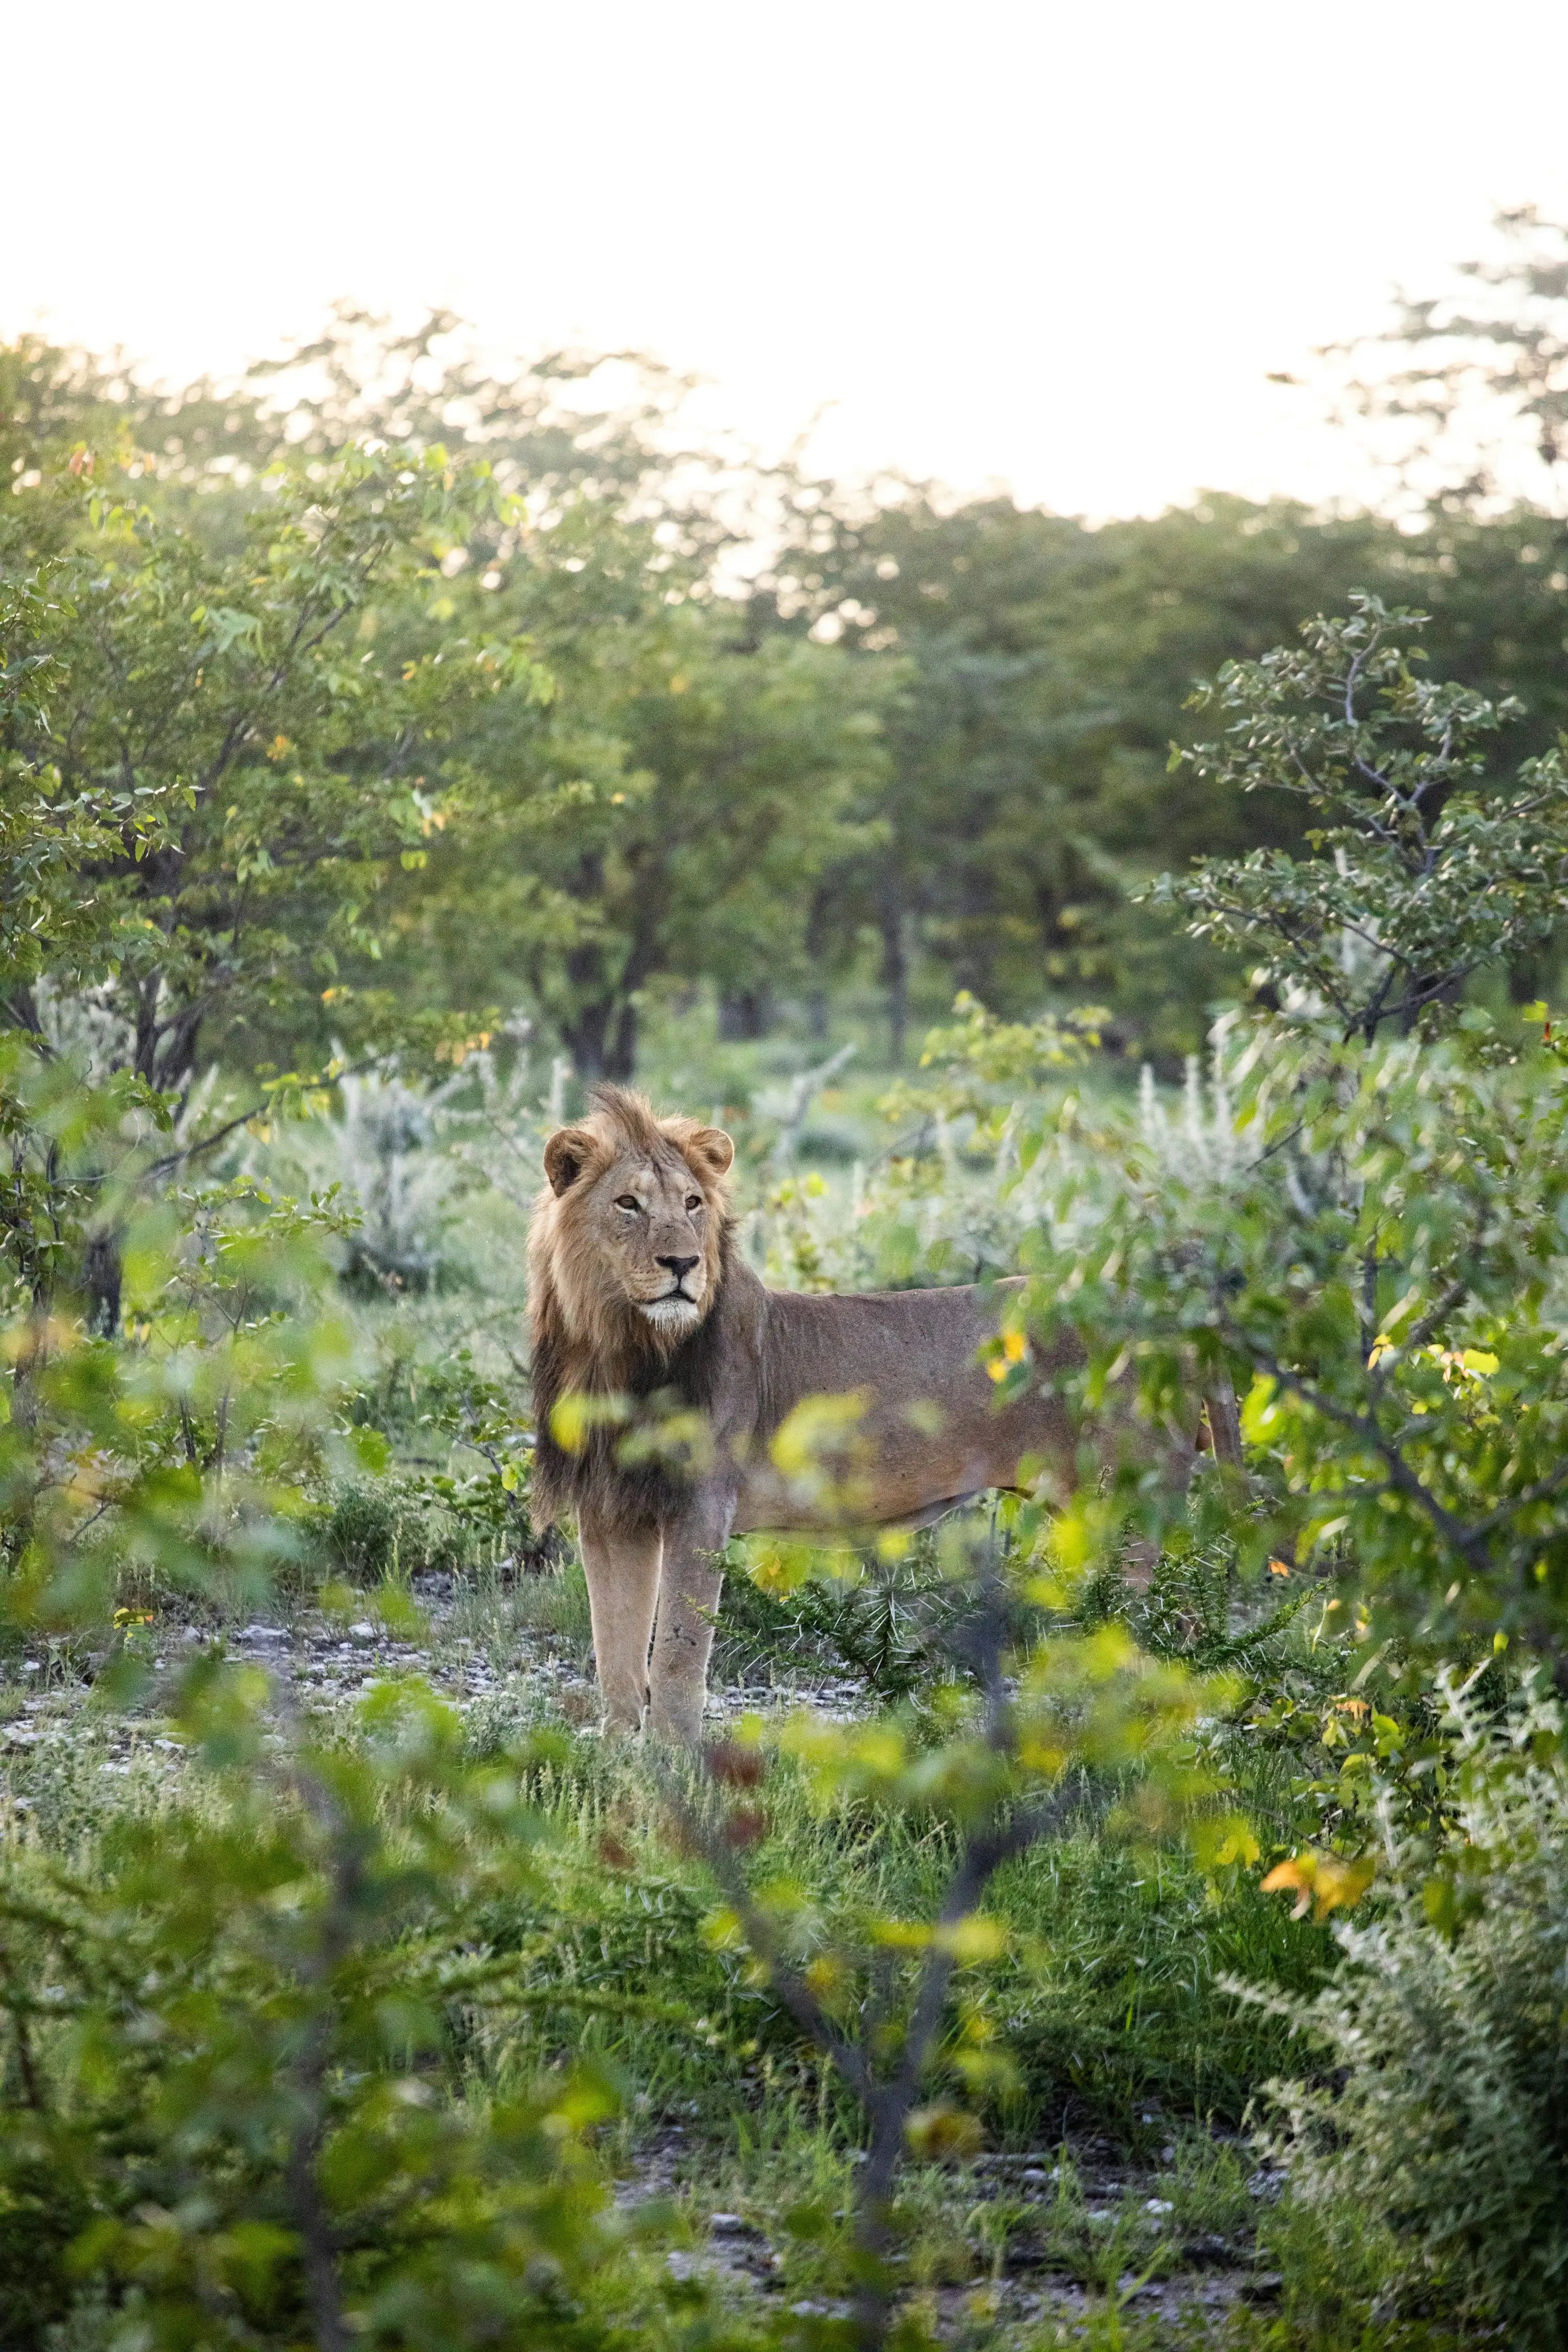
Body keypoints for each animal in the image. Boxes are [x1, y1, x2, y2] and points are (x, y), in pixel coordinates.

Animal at [528, 1085, 1238, 1744]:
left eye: (692, 1204)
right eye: (628, 1204)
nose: (683, 1264)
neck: (616, 1347)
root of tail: (1174, 1309)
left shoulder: (701, 1506)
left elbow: (676, 1655)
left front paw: (673, 1765)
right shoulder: (610, 1513)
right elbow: (616, 1656)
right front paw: (619, 1757)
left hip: (1123, 1505)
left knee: (1159, 1628)